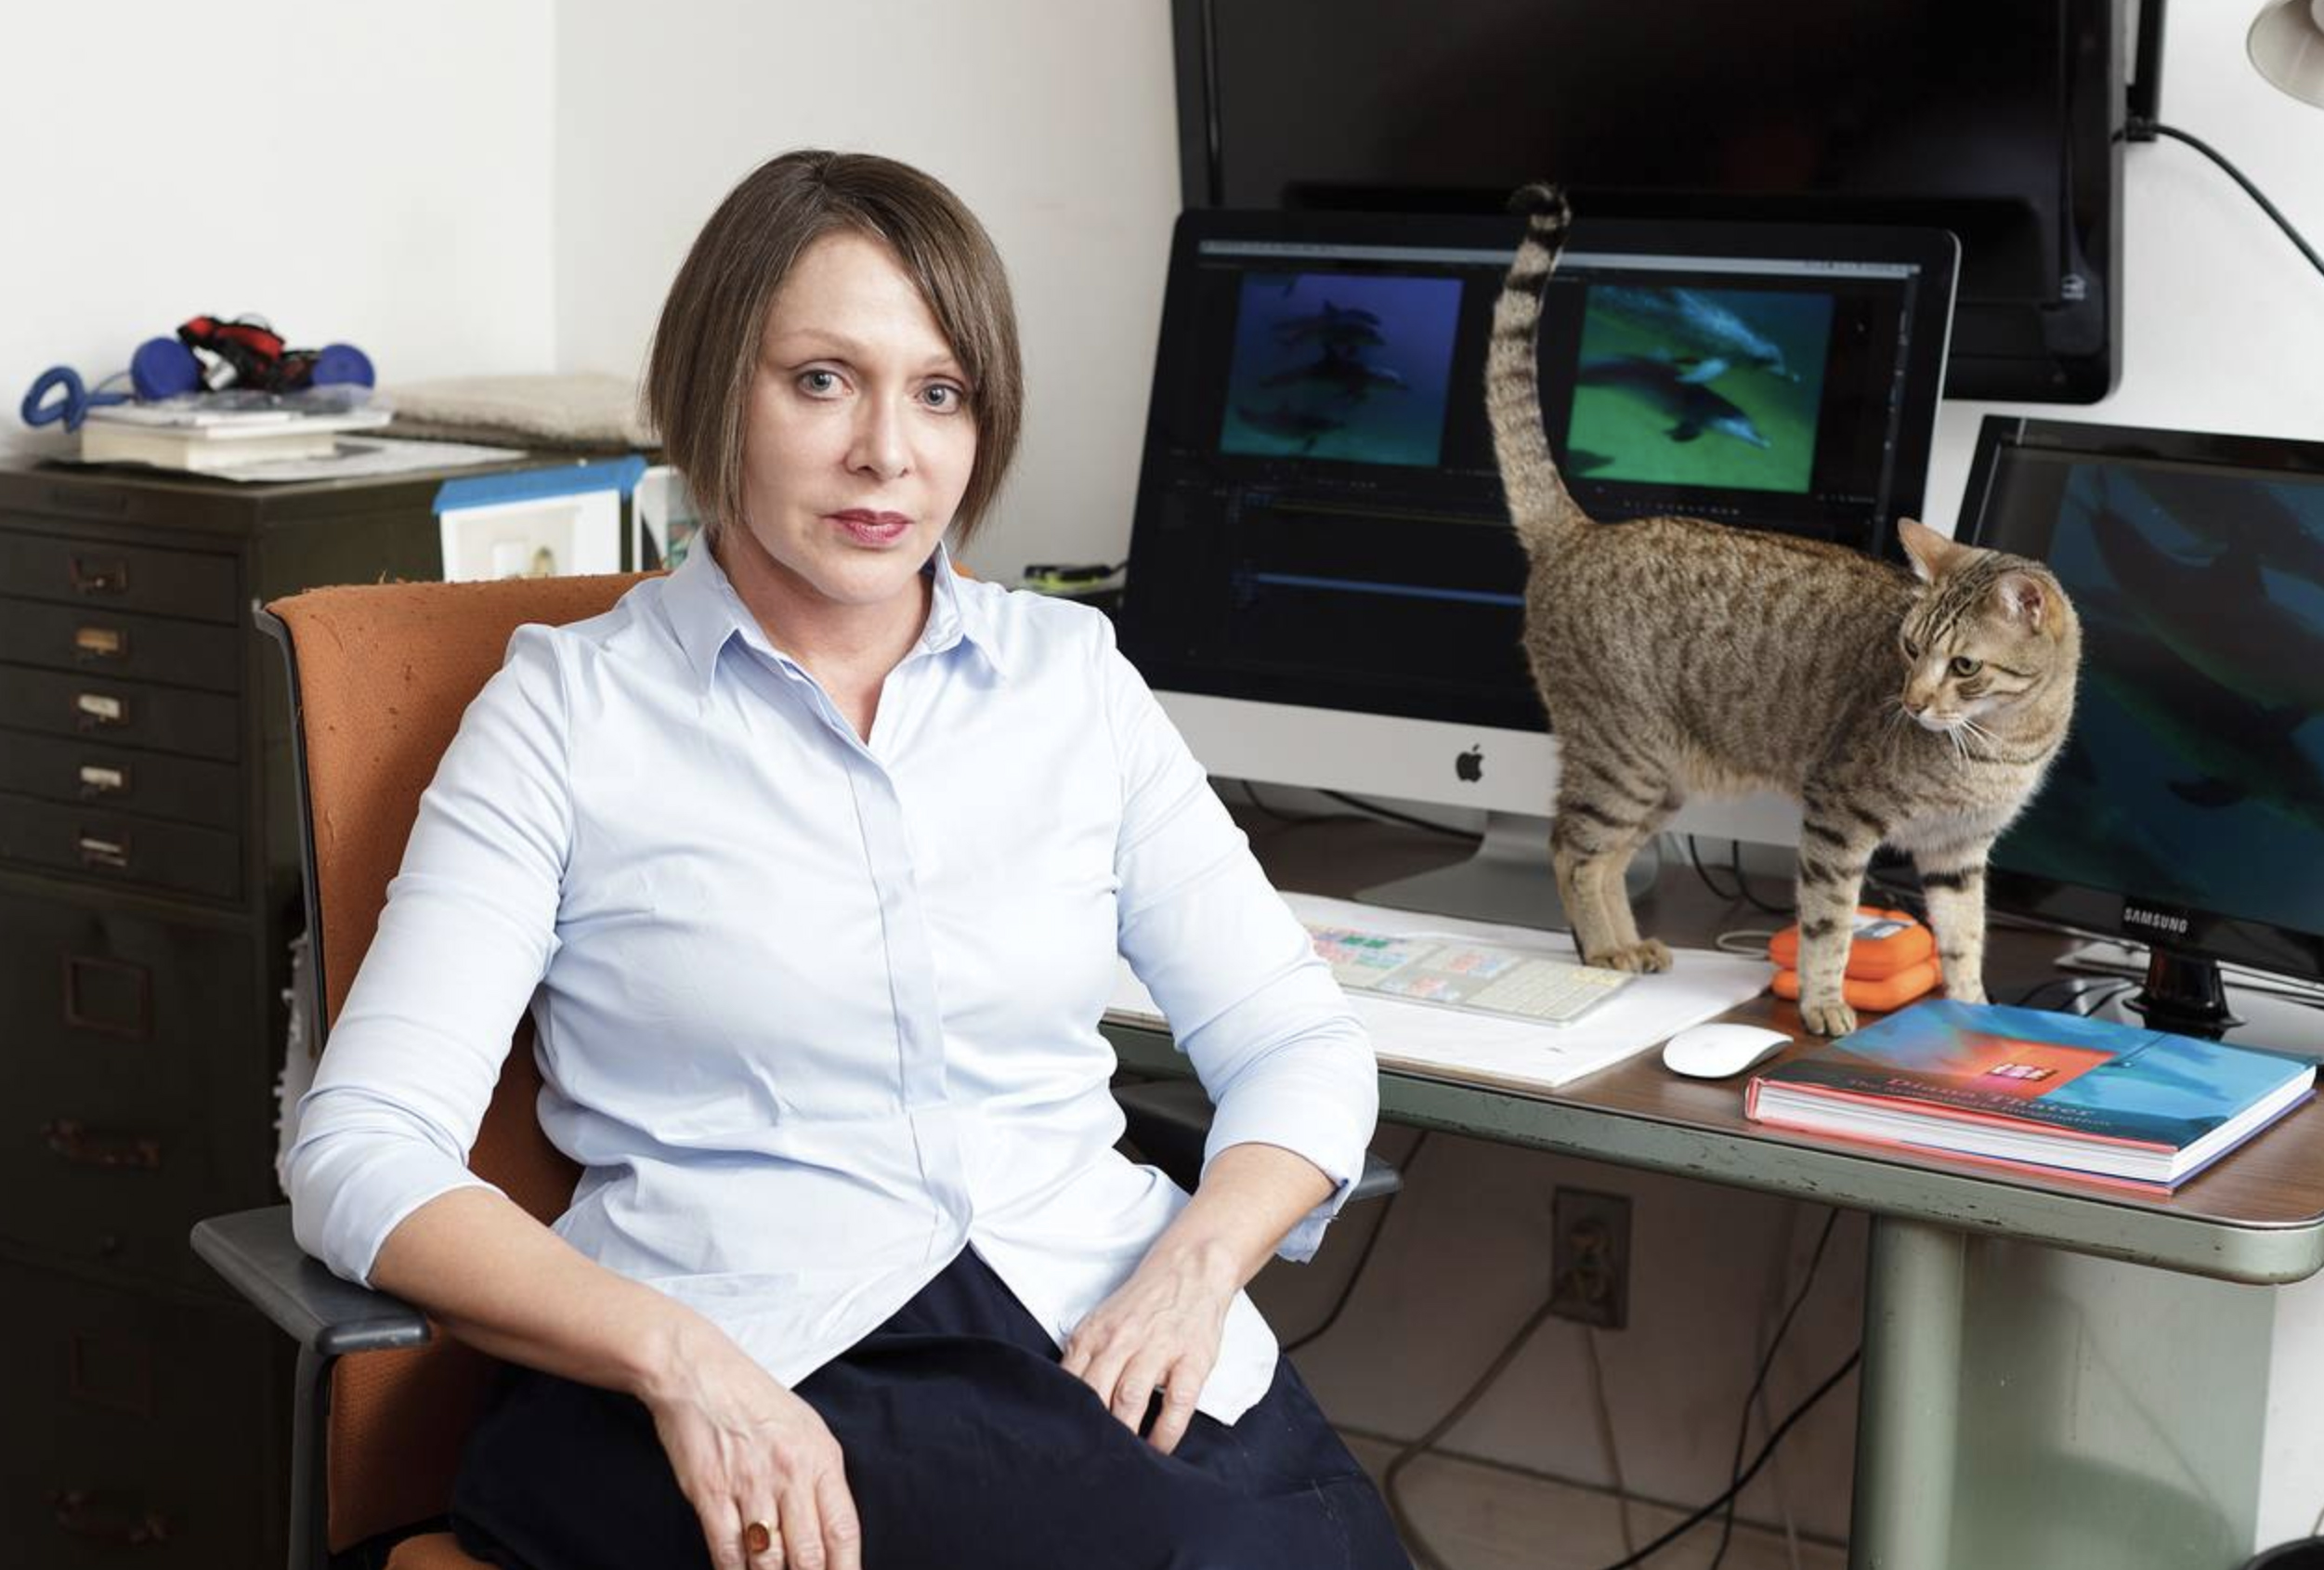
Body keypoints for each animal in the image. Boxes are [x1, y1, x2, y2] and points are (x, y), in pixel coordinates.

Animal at [1487, 183, 2091, 1037]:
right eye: (1911, 649)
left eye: (1964, 665)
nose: (1913, 702)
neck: (2002, 742)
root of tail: (1582, 528)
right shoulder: (1840, 814)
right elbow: (1829, 922)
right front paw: (1825, 1003)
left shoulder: (1959, 853)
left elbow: (1964, 936)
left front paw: (1972, 1008)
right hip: (1623, 753)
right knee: (1572, 846)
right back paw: (1604, 949)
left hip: (1658, 774)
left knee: (1603, 854)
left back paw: (1628, 945)